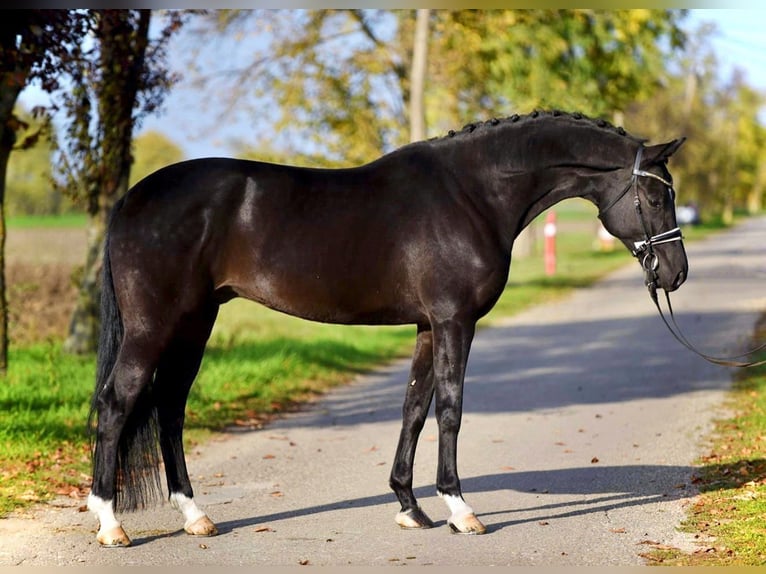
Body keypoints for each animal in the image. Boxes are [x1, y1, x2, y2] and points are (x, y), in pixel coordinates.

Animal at [87, 110, 688, 548]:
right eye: (658, 196)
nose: (676, 274)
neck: (473, 192)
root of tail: (134, 197)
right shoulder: (454, 321)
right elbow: (450, 409)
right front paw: (460, 509)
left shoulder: (427, 325)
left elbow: (414, 408)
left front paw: (410, 506)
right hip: (154, 327)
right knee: (117, 404)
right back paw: (110, 522)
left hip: (195, 323)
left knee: (169, 409)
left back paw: (195, 516)